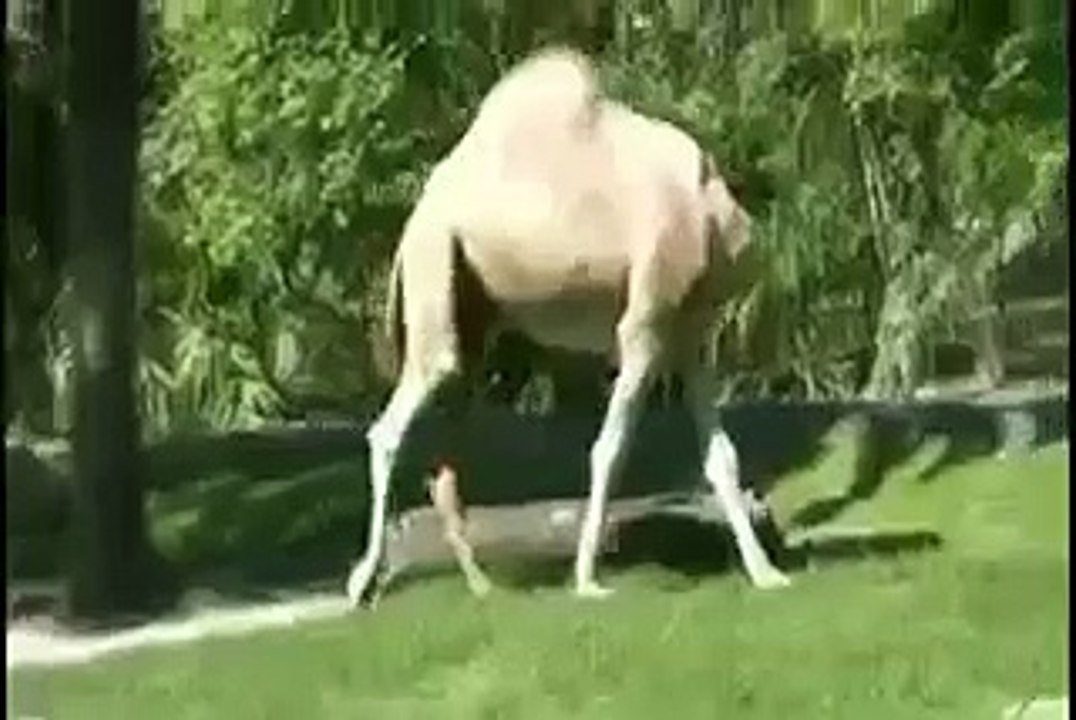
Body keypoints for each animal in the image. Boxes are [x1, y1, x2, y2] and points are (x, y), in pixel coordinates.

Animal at [347, 47, 790, 607]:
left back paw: (481, 584)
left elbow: (721, 457)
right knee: (391, 425)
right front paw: (587, 579)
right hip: (434, 265)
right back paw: (361, 584)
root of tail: (413, 222)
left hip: (472, 315)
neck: (712, 214)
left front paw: (766, 573)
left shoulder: (689, 331)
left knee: (446, 448)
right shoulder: (647, 316)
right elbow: (610, 448)